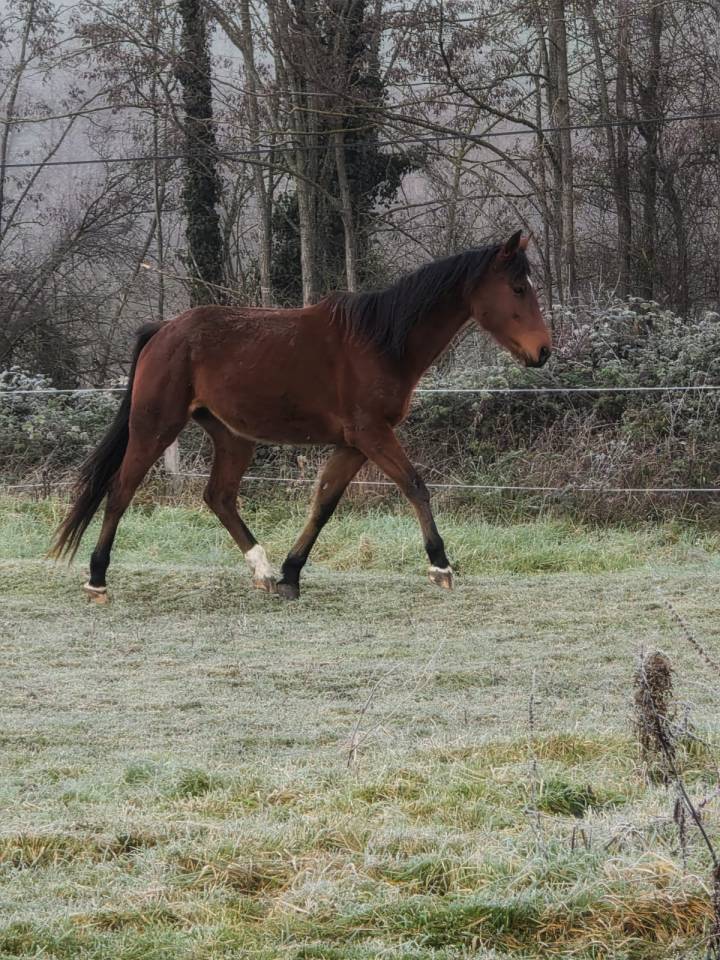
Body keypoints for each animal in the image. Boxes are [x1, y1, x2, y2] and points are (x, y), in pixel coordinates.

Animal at [51, 231, 551, 601]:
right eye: (518, 288)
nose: (543, 352)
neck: (381, 342)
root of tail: (164, 330)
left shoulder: (353, 444)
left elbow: (324, 503)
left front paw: (292, 573)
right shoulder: (372, 434)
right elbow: (415, 486)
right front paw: (440, 566)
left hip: (233, 436)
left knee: (219, 497)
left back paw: (265, 571)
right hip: (155, 427)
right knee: (121, 491)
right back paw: (97, 579)